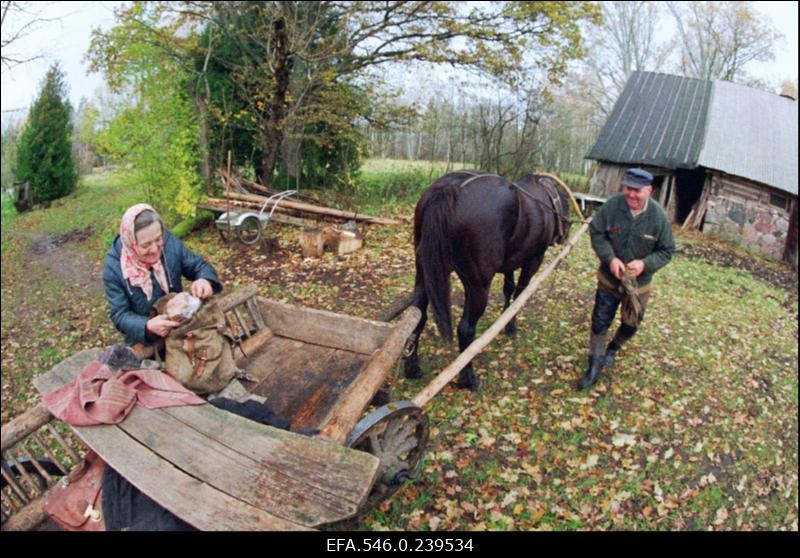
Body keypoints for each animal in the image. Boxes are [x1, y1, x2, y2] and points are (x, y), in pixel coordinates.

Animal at [406, 173, 568, 392]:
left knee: (418, 315)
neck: (547, 199)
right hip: (479, 286)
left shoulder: (510, 263)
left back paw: (412, 367)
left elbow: (509, 288)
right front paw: (511, 325)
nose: (565, 233)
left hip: (425, 273)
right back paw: (468, 378)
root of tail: (451, 188)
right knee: (466, 329)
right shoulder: (534, 259)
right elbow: (520, 293)